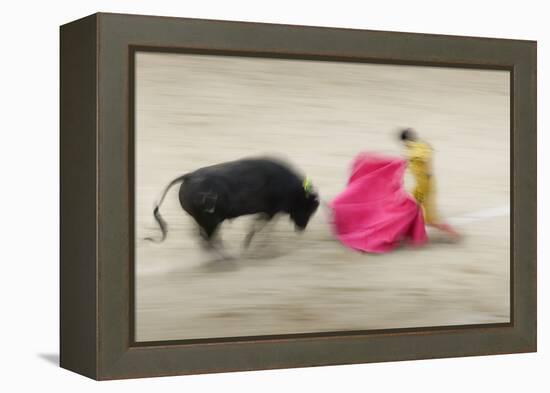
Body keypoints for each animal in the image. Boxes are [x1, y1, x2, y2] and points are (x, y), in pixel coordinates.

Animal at [144, 158, 322, 247]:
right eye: (308, 208)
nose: (301, 228)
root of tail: (188, 176)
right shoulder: (271, 210)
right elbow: (260, 226)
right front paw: (251, 243)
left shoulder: (270, 211)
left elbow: (260, 225)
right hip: (210, 221)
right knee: (208, 238)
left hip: (202, 219)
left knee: (202, 236)